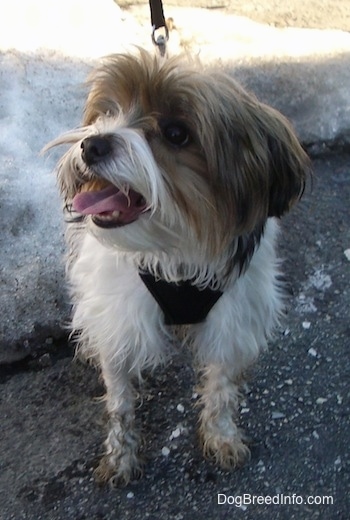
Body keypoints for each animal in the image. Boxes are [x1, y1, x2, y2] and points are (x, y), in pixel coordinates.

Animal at [45, 50, 310, 486]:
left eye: (176, 134)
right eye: (109, 111)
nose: (92, 144)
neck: (176, 248)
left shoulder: (233, 318)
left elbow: (221, 387)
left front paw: (221, 436)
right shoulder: (120, 318)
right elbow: (119, 397)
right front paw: (120, 454)